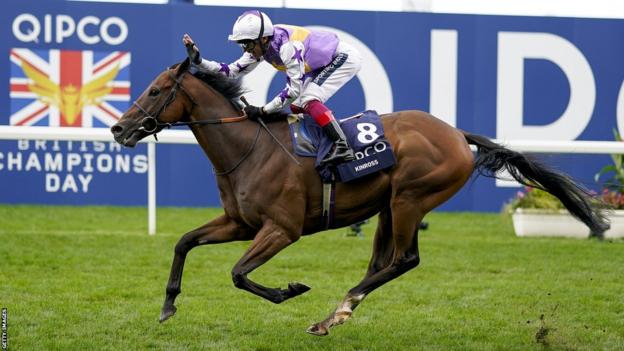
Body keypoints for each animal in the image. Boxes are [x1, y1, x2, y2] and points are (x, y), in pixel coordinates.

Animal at [109, 58, 608, 338]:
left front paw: (291, 289)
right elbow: (184, 242)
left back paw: (340, 307)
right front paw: (168, 305)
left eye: (156, 90)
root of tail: (455, 133)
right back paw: (335, 316)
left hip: (410, 198)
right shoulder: (240, 223)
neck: (247, 148)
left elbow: (238, 274)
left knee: (404, 260)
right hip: (388, 206)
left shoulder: (282, 229)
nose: (118, 128)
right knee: (382, 263)